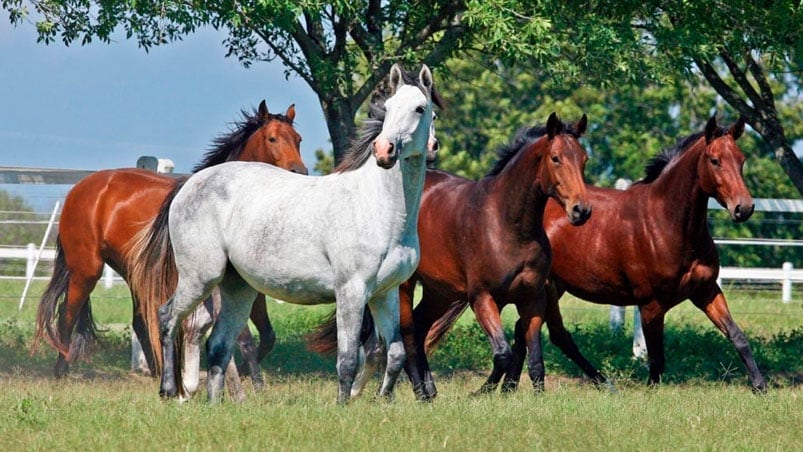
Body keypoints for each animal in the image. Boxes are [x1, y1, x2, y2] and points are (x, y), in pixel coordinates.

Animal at [33, 101, 308, 378]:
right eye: (272, 138)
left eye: (298, 139)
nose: (300, 172)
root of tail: (81, 188)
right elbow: (243, 337)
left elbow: (266, 336)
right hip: (86, 270)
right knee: (67, 314)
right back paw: (61, 370)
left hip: (135, 273)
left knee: (141, 321)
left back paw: (158, 371)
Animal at [133, 64, 446, 402]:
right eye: (387, 108)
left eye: (422, 109)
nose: (384, 151)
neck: (377, 207)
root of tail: (189, 184)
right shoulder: (351, 291)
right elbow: (348, 359)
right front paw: (344, 406)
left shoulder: (385, 293)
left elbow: (395, 353)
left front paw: (382, 402)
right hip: (201, 278)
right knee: (168, 317)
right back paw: (169, 390)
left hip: (237, 288)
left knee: (218, 345)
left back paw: (215, 403)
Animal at [310, 112, 592, 400]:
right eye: (555, 158)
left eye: (584, 159)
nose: (581, 210)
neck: (508, 225)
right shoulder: (482, 297)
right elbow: (503, 354)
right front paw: (481, 393)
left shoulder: (533, 298)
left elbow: (534, 359)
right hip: (404, 288)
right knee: (408, 337)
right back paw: (421, 392)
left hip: (439, 293)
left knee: (419, 332)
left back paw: (429, 392)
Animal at [508, 114, 768, 392]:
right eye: (715, 160)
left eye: (741, 159)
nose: (744, 208)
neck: (666, 223)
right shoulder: (651, 306)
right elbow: (656, 360)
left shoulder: (706, 290)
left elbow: (738, 336)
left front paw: (760, 386)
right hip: (546, 287)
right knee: (553, 334)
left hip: (554, 286)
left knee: (527, 330)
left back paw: (506, 384)